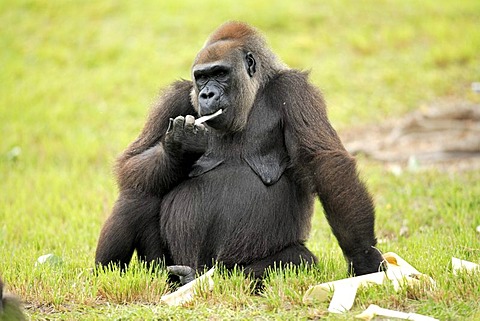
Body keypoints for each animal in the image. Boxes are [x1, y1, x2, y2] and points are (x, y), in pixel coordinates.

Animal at [95, 21, 384, 282]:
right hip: (162, 265)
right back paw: (108, 273)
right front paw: (178, 149)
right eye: (201, 77)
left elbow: (324, 160)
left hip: (225, 267)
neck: (255, 91)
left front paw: (364, 257)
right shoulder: (174, 97)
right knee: (138, 192)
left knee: (296, 259)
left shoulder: (296, 90)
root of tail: (199, 270)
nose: (207, 95)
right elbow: (130, 162)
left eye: (220, 73)